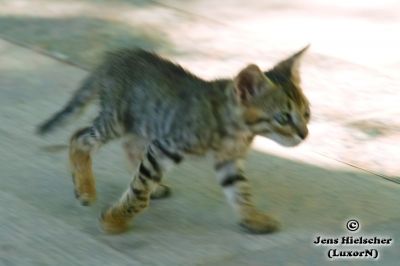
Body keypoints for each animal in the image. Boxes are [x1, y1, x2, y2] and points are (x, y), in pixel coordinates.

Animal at [37, 46, 310, 234]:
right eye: (283, 117)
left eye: (306, 113)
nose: (304, 134)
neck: (236, 131)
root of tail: (116, 55)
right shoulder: (164, 147)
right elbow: (139, 194)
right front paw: (115, 220)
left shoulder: (228, 161)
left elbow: (241, 191)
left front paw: (252, 218)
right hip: (116, 120)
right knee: (79, 137)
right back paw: (86, 189)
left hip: (143, 124)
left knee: (129, 147)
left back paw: (155, 186)